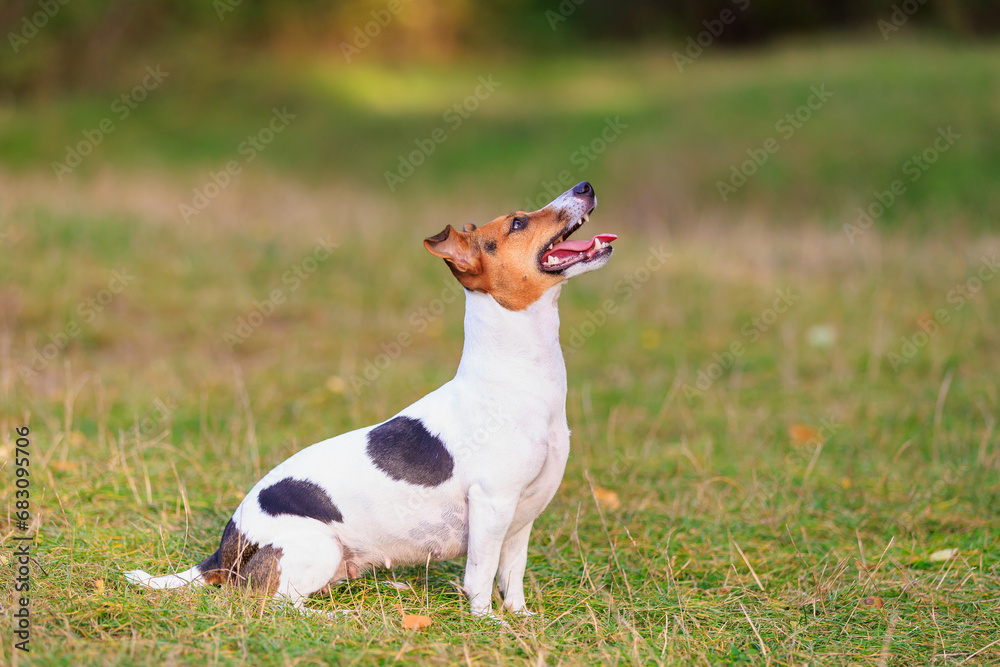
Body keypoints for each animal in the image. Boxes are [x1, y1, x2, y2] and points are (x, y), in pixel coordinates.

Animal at [121, 180, 612, 620]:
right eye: (517, 222)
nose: (586, 186)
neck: (516, 373)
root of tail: (227, 544)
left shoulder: (521, 519)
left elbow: (512, 577)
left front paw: (522, 618)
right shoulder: (492, 505)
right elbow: (481, 578)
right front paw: (488, 623)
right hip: (316, 548)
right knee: (274, 604)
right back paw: (334, 617)